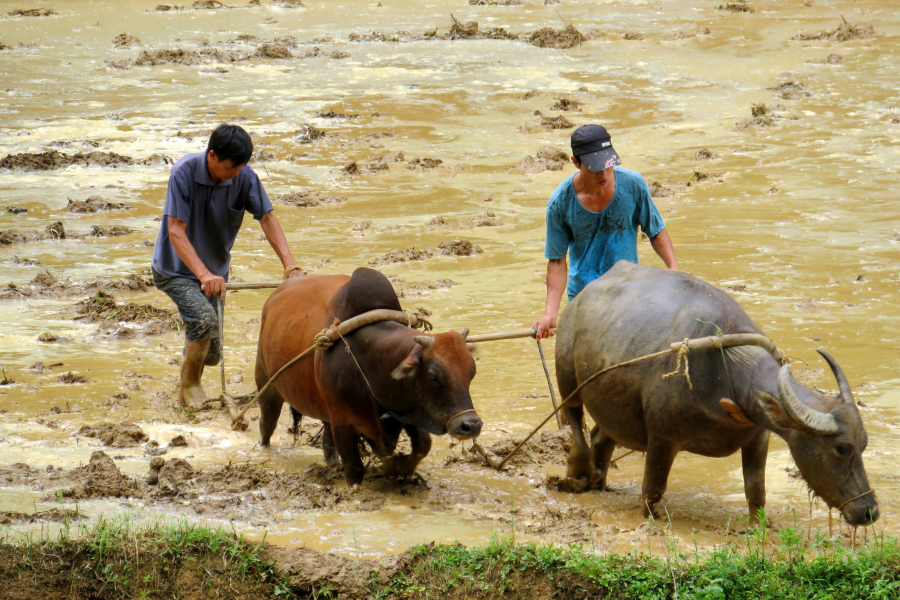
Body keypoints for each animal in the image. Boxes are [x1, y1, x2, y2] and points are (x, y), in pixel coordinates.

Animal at [253, 268, 482, 482]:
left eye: (471, 373)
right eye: (433, 376)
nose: (471, 425)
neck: (370, 361)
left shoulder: (407, 409)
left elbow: (422, 446)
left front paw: (396, 467)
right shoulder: (342, 421)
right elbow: (355, 470)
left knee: (327, 442)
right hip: (267, 386)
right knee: (267, 424)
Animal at [556, 258, 880, 524]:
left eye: (863, 444)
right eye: (842, 448)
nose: (869, 512)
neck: (727, 373)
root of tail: (581, 297)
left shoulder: (758, 437)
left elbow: (756, 491)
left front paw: (758, 527)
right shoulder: (662, 438)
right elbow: (652, 490)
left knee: (602, 435)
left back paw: (599, 483)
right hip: (567, 378)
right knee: (575, 421)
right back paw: (578, 474)